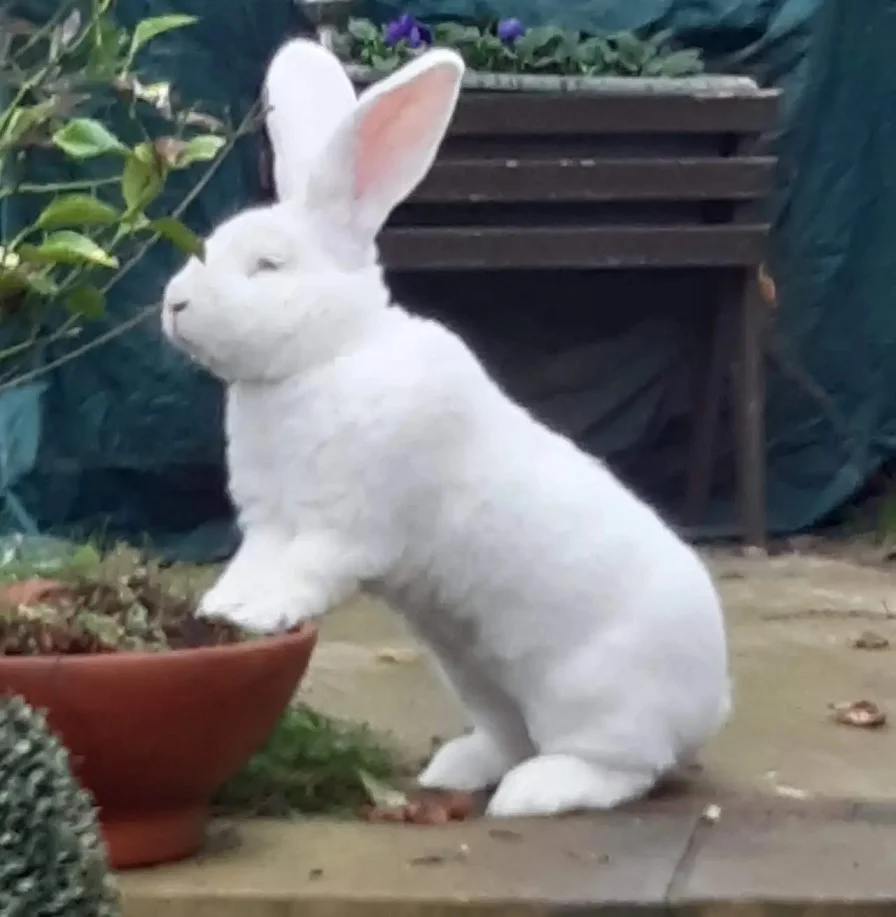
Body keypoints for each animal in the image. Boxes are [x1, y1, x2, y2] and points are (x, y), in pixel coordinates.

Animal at [161, 37, 731, 818]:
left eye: (267, 266)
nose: (174, 303)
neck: (328, 354)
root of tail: (715, 699)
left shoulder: (343, 528)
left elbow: (304, 572)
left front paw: (261, 617)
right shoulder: (268, 522)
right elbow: (252, 565)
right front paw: (226, 607)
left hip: (592, 698)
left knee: (624, 767)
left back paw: (533, 793)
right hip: (478, 678)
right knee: (513, 738)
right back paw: (456, 769)